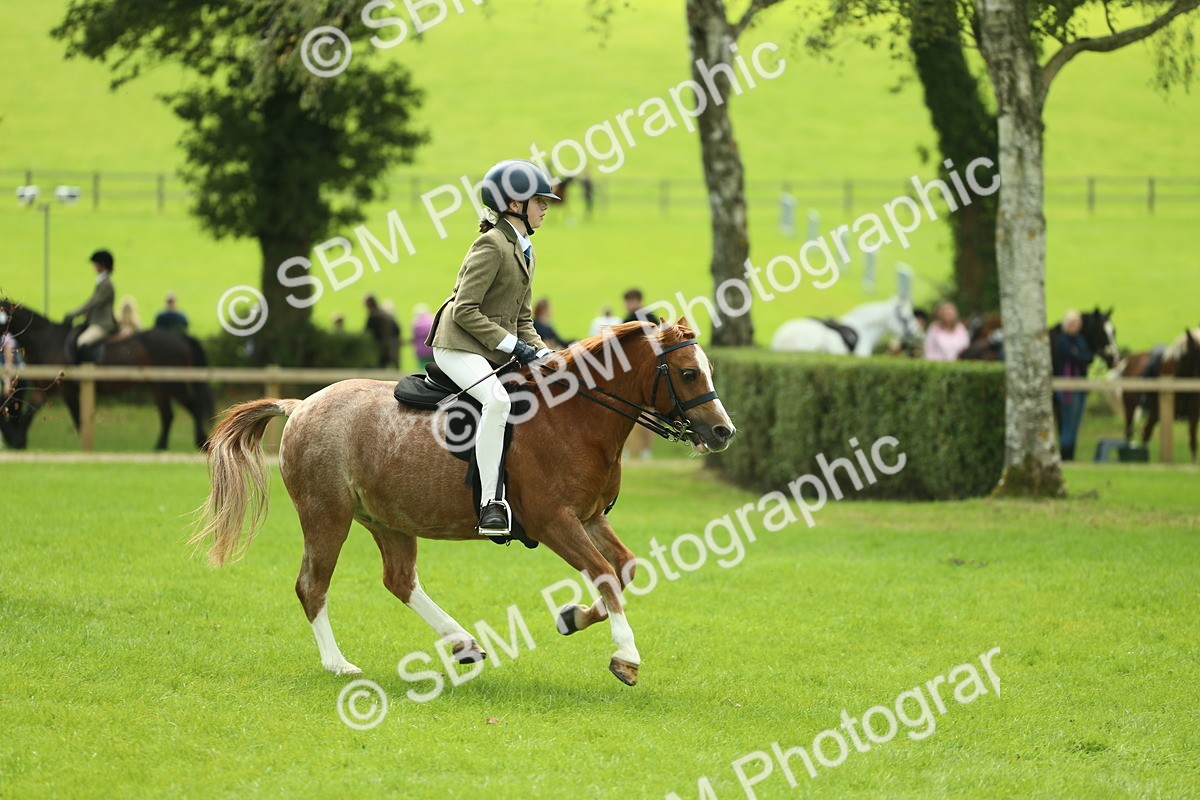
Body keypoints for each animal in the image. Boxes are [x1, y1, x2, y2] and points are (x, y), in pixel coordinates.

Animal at [0, 299, 213, 451]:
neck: (46, 340)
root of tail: (180, 337)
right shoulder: (44, 387)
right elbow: (29, 415)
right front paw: (18, 442)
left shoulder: (65, 389)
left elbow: (75, 417)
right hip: (158, 386)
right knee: (168, 414)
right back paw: (160, 447)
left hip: (173, 383)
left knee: (193, 407)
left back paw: (200, 443)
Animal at [190, 319, 736, 687]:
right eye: (689, 373)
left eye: (708, 369)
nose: (723, 432)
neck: (576, 417)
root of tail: (301, 404)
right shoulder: (555, 522)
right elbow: (604, 573)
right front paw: (626, 657)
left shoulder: (589, 518)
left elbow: (624, 570)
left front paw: (572, 618)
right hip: (328, 515)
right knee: (313, 586)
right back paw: (338, 663)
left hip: (388, 520)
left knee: (399, 580)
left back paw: (463, 643)